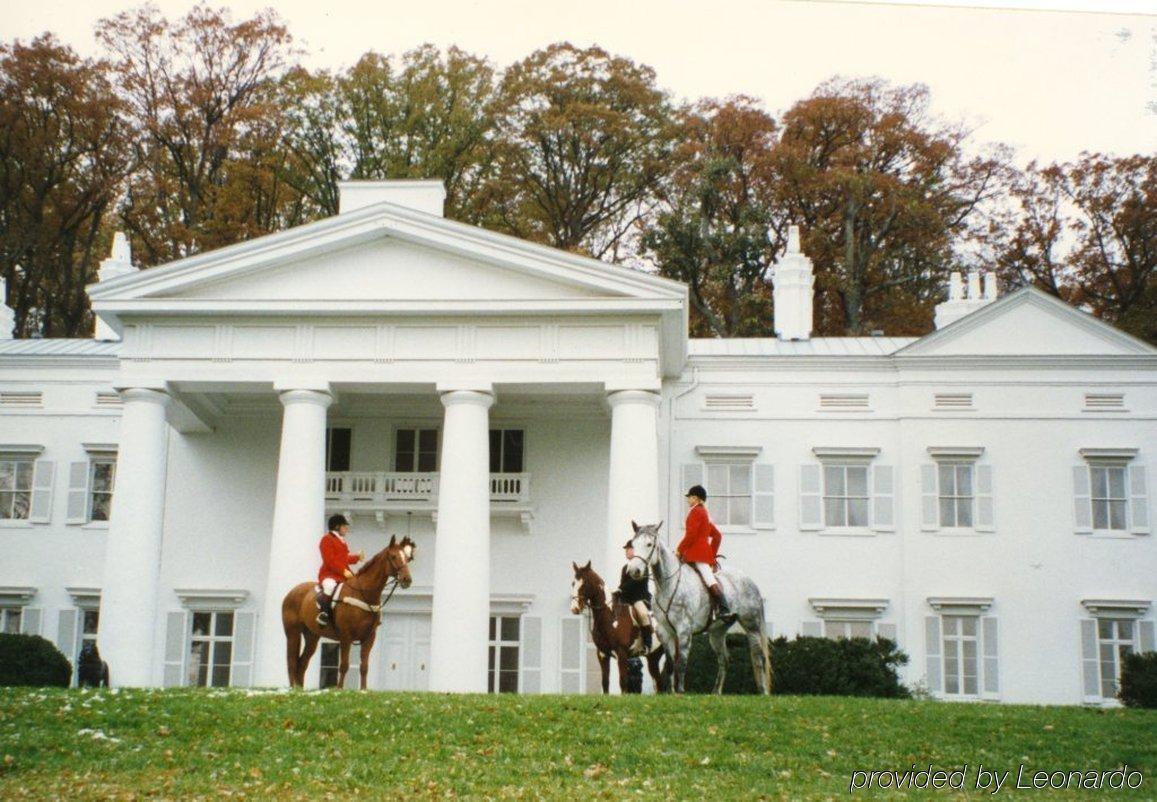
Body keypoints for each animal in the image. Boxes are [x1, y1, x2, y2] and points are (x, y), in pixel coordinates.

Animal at [281, 532, 416, 689]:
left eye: (407, 558)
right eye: (393, 556)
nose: (407, 580)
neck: (363, 594)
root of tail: (292, 592)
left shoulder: (369, 637)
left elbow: (364, 667)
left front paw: (363, 690)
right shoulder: (346, 636)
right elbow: (344, 665)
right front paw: (339, 689)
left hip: (312, 636)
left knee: (302, 663)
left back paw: (299, 689)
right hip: (293, 633)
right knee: (292, 662)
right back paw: (293, 689)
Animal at [566, 560, 666, 689]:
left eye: (585, 584)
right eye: (573, 583)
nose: (574, 609)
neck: (610, 616)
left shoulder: (621, 654)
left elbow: (623, 682)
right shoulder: (602, 654)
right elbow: (605, 682)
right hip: (653, 657)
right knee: (658, 682)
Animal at [634, 523, 768, 689]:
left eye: (649, 544)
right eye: (633, 544)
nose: (634, 570)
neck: (668, 585)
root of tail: (750, 581)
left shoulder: (684, 631)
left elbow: (681, 664)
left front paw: (680, 691)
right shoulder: (664, 631)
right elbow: (670, 665)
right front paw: (671, 692)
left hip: (752, 626)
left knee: (758, 658)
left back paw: (763, 691)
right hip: (717, 632)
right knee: (724, 660)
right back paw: (716, 692)